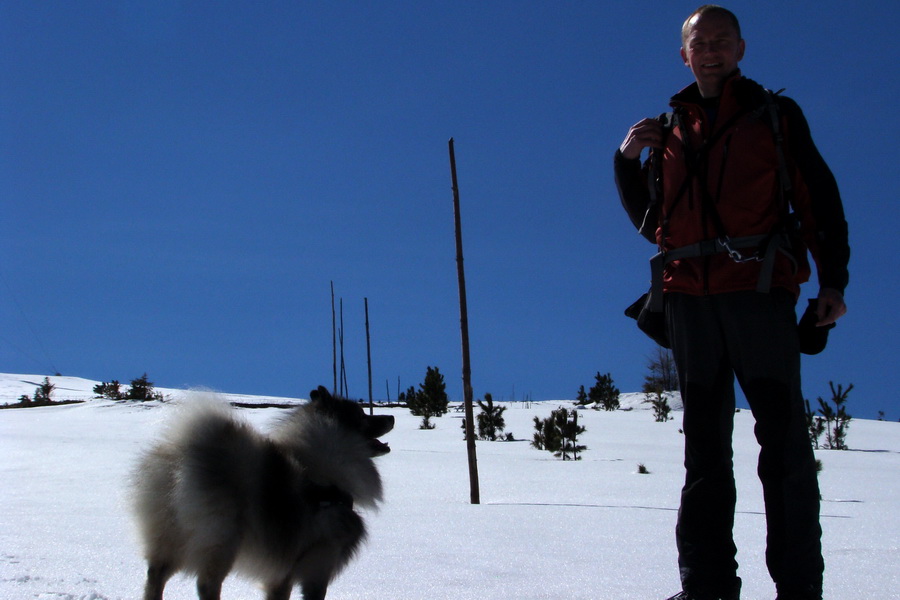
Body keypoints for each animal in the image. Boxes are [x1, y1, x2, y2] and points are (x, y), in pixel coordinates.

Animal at [131, 384, 394, 600]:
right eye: (361, 415)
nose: (391, 417)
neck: (322, 475)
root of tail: (182, 454)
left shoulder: (282, 573)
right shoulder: (317, 566)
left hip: (170, 540)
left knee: (156, 576)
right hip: (222, 540)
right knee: (206, 585)